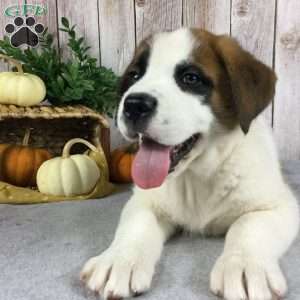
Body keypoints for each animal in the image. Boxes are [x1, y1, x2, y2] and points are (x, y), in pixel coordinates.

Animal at [81, 28, 298, 300]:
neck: (197, 176)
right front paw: (120, 259)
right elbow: (136, 225)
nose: (134, 105)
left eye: (190, 78)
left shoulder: (279, 206)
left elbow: (248, 225)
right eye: (135, 75)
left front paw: (244, 265)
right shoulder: (144, 201)